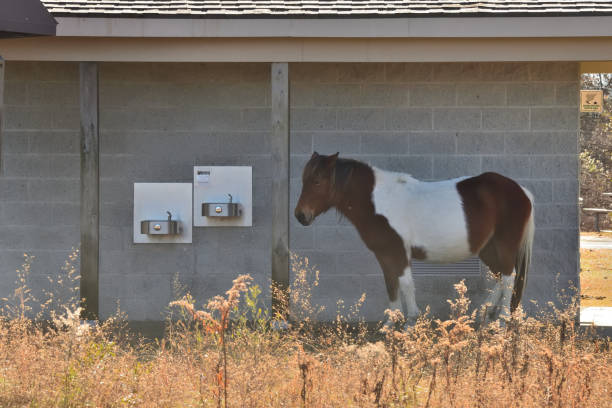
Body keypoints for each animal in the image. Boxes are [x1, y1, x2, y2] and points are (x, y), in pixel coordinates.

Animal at [294, 152, 532, 322]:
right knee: (500, 276)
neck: (378, 201)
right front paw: (391, 323)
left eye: (317, 181)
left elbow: (406, 284)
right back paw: (485, 312)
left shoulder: (398, 251)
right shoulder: (385, 255)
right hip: (488, 249)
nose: (300, 216)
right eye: (304, 179)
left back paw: (501, 320)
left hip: (504, 246)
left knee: (508, 278)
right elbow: (391, 285)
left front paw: (410, 322)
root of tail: (522, 191)